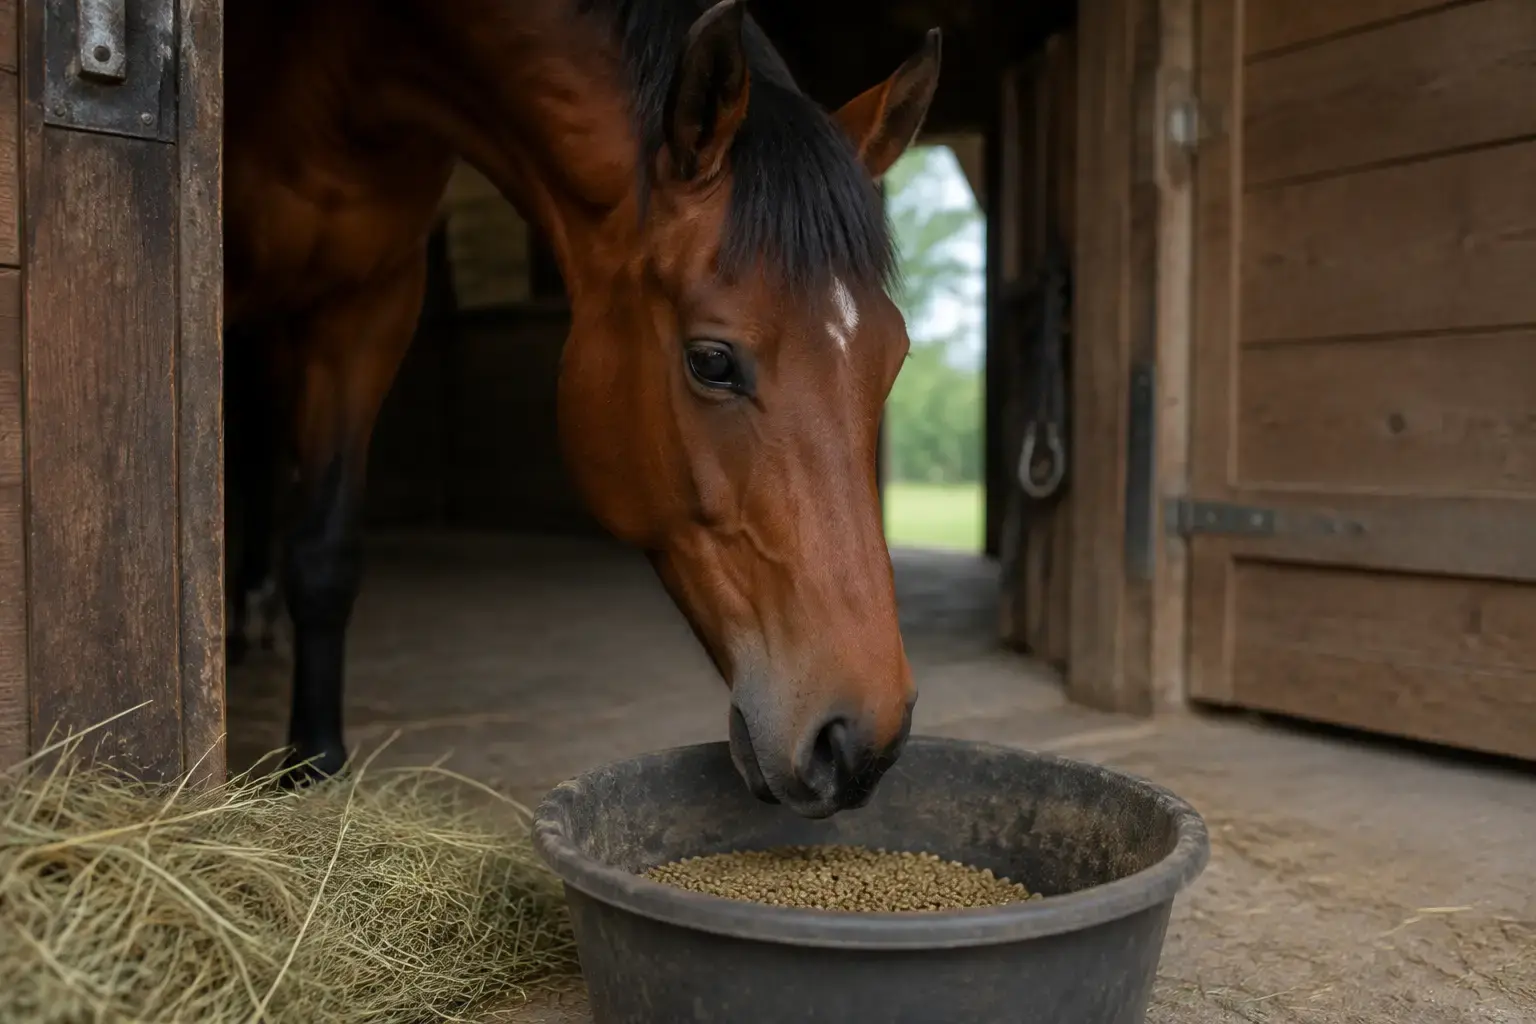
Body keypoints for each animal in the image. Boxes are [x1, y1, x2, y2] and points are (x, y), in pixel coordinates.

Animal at [223, 0, 941, 819]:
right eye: (712, 362)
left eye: (894, 357)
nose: (860, 743)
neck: (346, 70)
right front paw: (309, 769)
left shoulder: (371, 304)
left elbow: (327, 552)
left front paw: (315, 764)